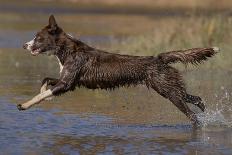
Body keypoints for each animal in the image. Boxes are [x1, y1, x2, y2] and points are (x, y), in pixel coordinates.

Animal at [17, 15, 218, 125]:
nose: (24, 45)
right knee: (196, 99)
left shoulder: (66, 84)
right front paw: (46, 95)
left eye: (38, 38)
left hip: (168, 91)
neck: (67, 49)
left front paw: (25, 105)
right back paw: (204, 110)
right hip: (169, 88)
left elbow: (42, 93)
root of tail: (159, 58)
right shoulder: (68, 82)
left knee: (192, 116)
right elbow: (45, 81)